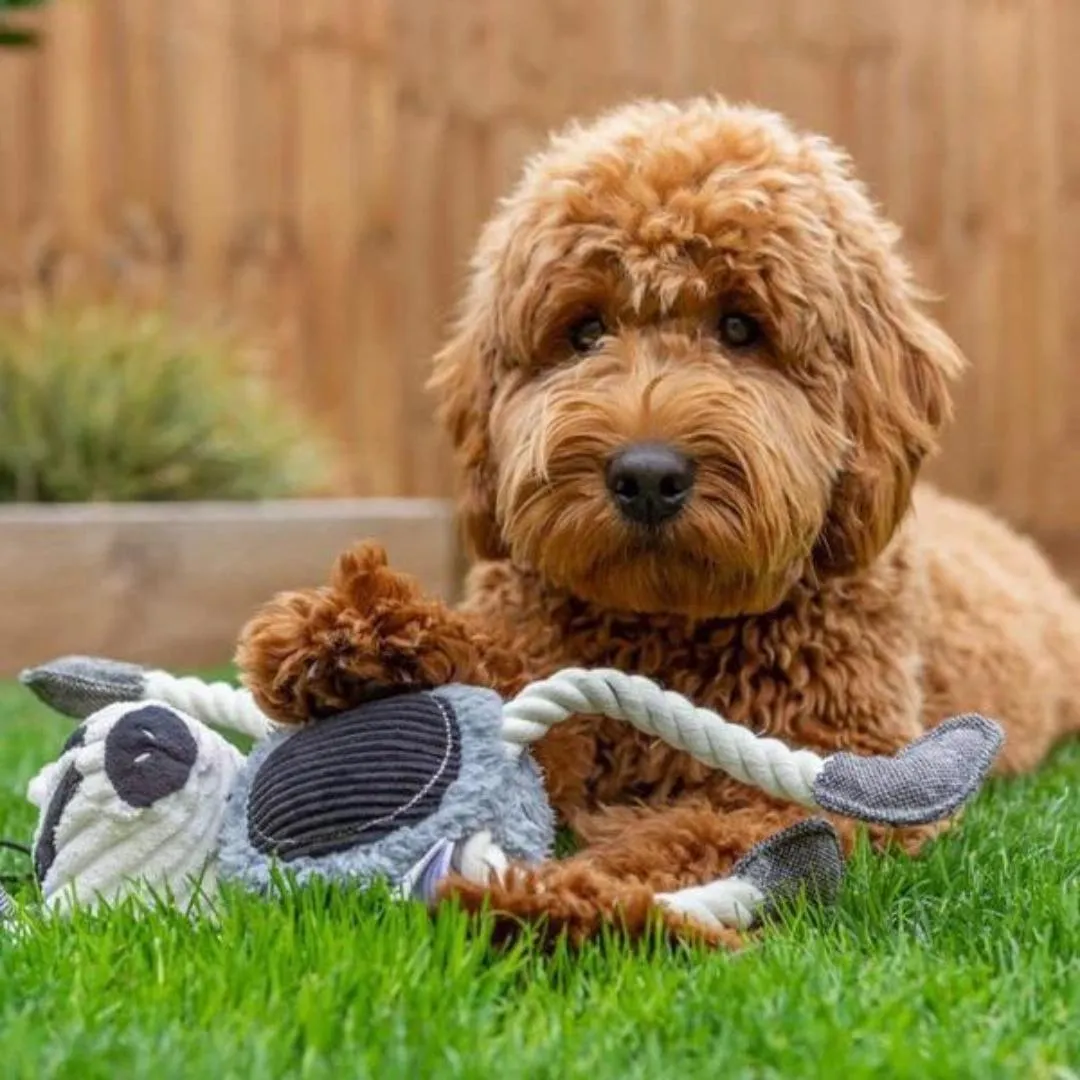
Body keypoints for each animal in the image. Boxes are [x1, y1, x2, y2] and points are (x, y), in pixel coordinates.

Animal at [236, 99, 1080, 946]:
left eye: (741, 327)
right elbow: (517, 683)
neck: (666, 625)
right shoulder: (548, 650)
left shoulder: (826, 767)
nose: (647, 476)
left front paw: (565, 898)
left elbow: (694, 836)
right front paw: (358, 639)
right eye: (584, 331)